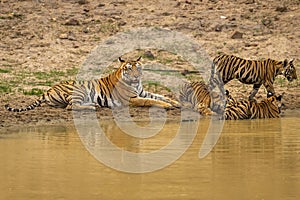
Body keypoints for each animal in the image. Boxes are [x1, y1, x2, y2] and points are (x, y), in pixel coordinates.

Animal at [4, 56, 180, 112]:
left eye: (138, 67)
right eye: (128, 69)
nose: (136, 76)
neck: (135, 84)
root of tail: (48, 90)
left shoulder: (142, 92)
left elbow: (160, 96)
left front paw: (176, 102)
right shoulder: (132, 99)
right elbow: (150, 101)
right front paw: (167, 106)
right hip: (78, 90)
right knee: (71, 106)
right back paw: (93, 107)